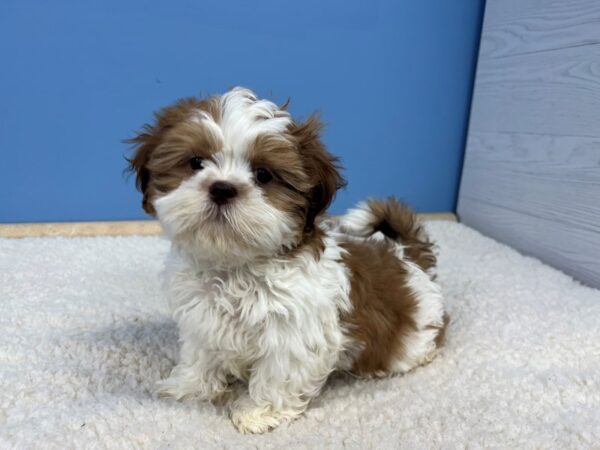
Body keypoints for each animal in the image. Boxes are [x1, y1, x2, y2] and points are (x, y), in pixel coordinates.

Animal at [127, 86, 446, 434]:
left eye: (263, 175)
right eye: (196, 162)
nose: (222, 188)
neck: (235, 266)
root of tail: (408, 258)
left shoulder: (293, 333)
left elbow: (278, 374)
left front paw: (257, 413)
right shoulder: (201, 318)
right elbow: (199, 354)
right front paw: (189, 386)